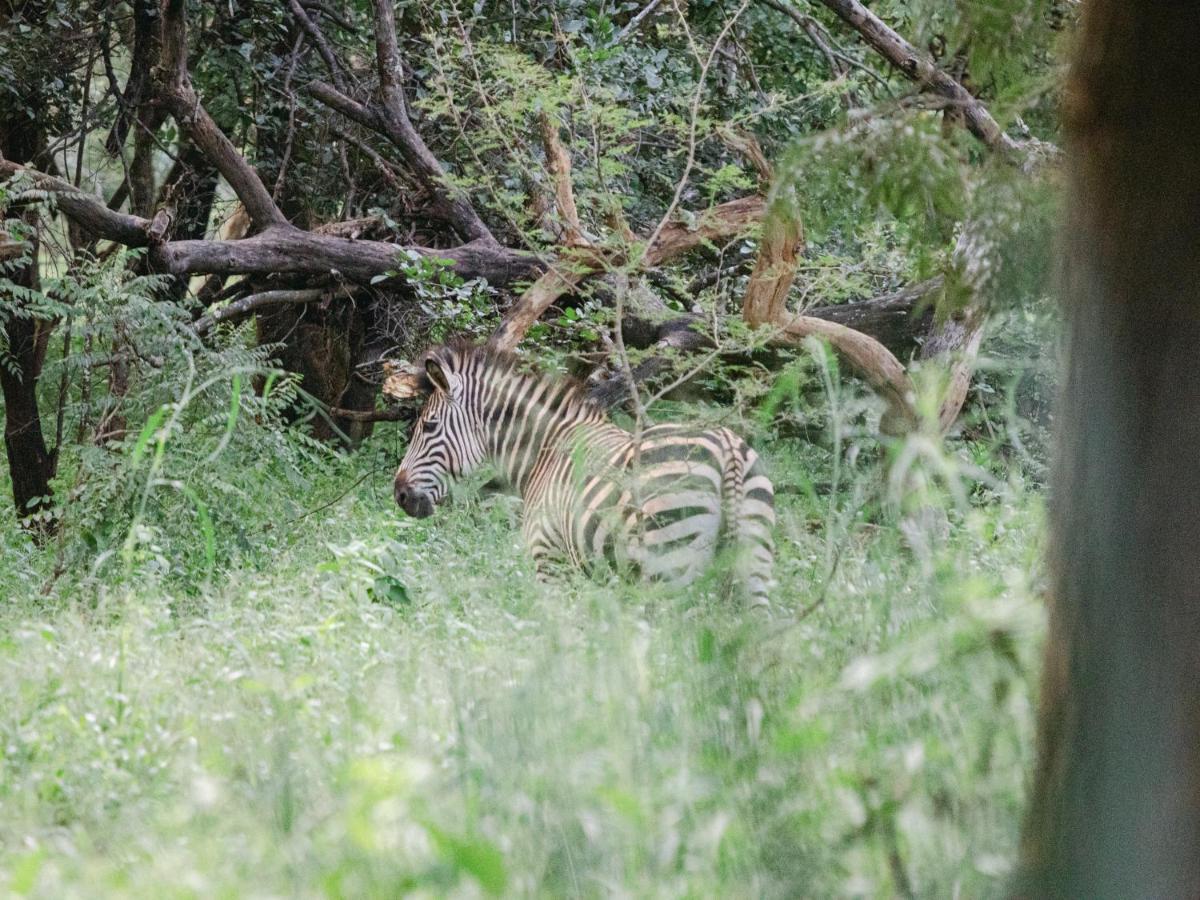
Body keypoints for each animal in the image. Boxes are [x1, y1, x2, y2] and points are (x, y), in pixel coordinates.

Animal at [388, 340, 772, 609]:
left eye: (429, 426)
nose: (400, 495)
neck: (544, 453)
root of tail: (727, 450)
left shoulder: (549, 560)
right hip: (754, 560)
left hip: (670, 563)